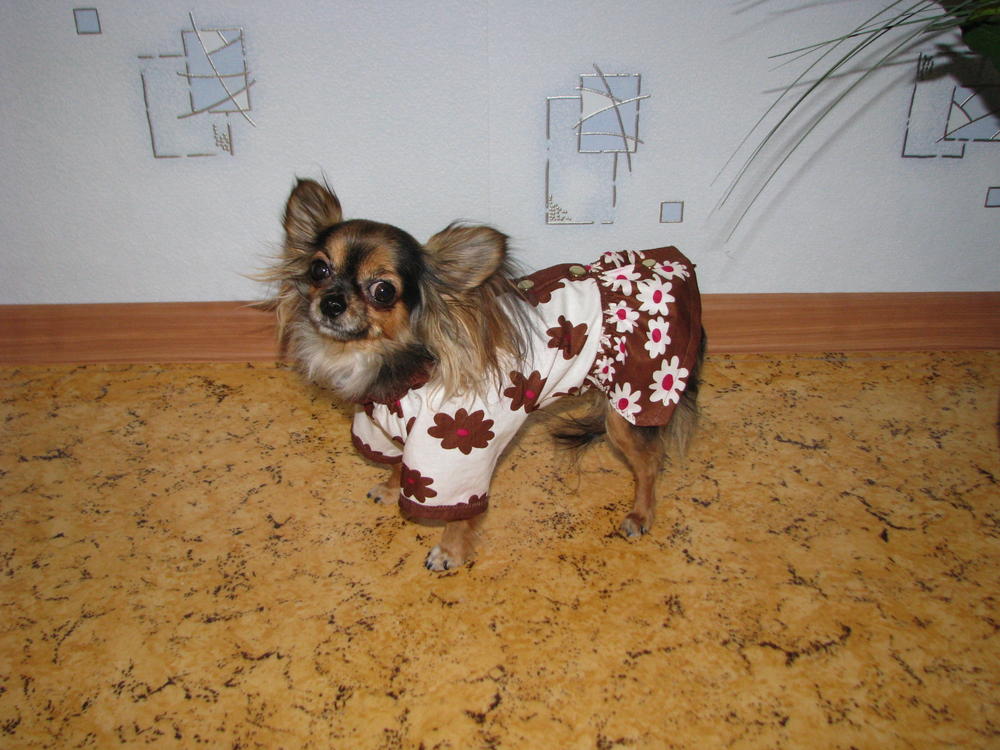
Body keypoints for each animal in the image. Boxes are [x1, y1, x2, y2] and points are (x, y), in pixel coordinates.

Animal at [263, 179, 704, 571]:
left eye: (384, 291)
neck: (400, 367)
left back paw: (641, 514)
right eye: (319, 270)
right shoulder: (385, 426)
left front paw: (450, 553)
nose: (332, 303)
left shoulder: (453, 453)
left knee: (651, 463)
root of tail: (677, 265)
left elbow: (458, 512)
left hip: (631, 406)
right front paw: (390, 489)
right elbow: (397, 464)